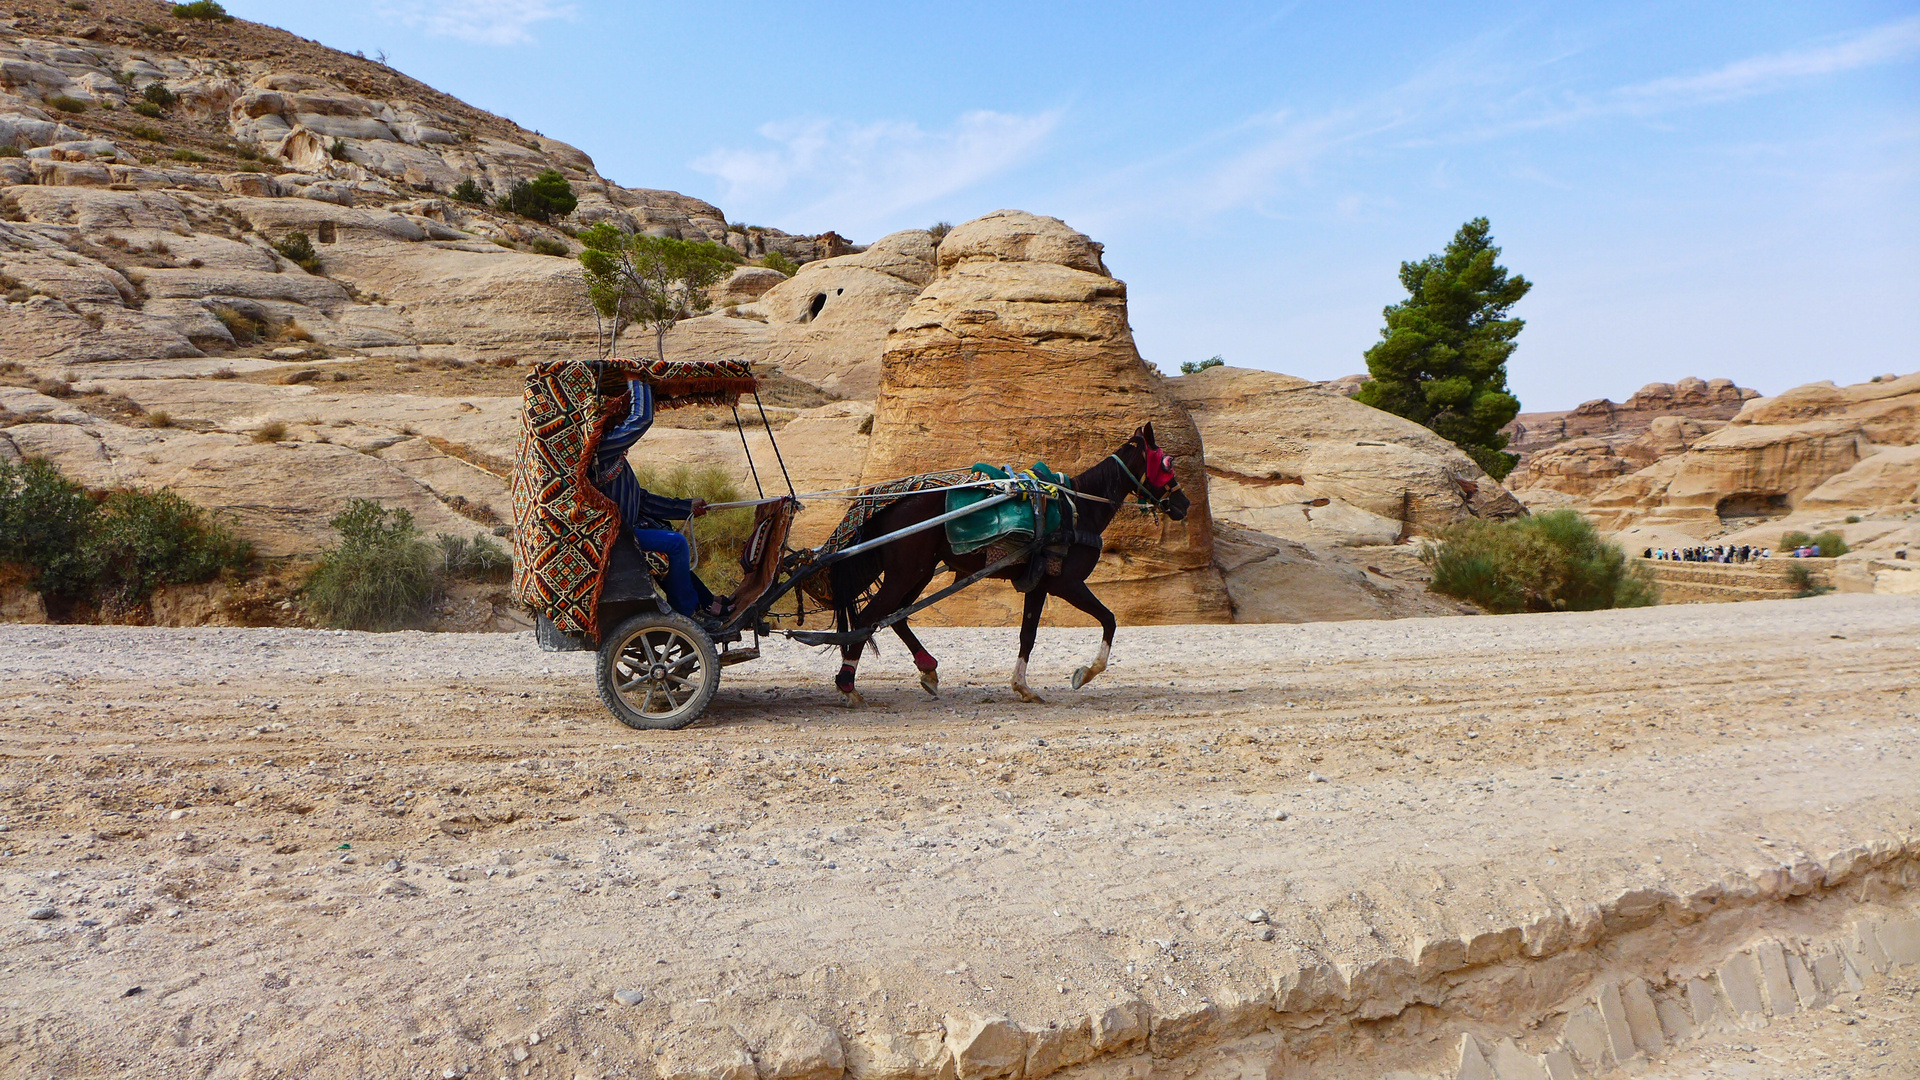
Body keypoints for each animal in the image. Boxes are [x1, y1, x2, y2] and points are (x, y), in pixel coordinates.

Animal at [821, 420, 1182, 707]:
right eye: (1167, 464)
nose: (1184, 504)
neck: (1078, 508)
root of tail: (888, 500)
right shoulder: (1067, 584)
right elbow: (1109, 620)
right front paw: (1085, 673)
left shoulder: (1039, 584)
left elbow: (1028, 635)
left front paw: (1022, 686)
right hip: (907, 572)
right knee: (870, 617)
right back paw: (848, 685)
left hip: (918, 572)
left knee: (895, 617)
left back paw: (927, 668)